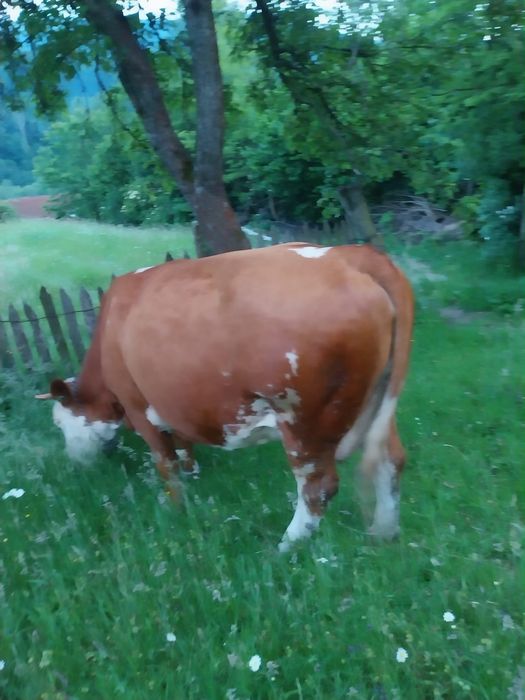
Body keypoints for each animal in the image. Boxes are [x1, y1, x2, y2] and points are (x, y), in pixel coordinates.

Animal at [36, 243, 414, 551]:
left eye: (60, 423)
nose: (76, 463)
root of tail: (348, 254)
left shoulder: (138, 407)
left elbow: (165, 464)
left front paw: (175, 509)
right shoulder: (174, 403)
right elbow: (183, 446)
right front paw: (192, 472)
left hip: (304, 419)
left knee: (317, 486)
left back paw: (285, 547)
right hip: (377, 401)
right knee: (390, 460)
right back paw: (384, 532)